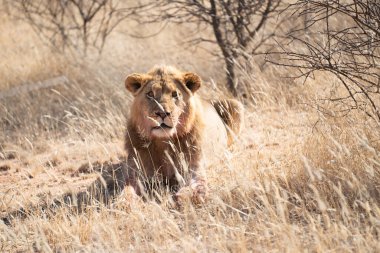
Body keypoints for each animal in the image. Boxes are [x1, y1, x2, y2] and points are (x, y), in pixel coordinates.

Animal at [124, 65, 243, 204]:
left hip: (236, 105)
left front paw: (179, 197)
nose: (162, 113)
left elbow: (194, 190)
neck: (164, 141)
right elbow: (126, 191)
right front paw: (125, 202)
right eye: (150, 94)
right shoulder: (137, 173)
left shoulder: (195, 169)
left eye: (175, 94)